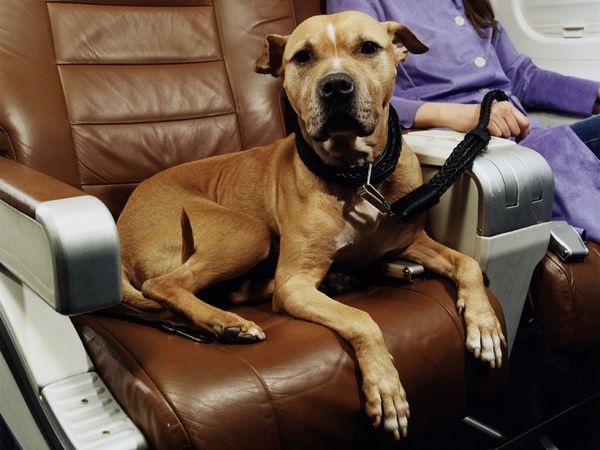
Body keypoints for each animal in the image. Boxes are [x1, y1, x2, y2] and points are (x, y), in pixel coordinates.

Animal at [116, 9, 502, 440]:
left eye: (368, 47)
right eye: (302, 57)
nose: (335, 85)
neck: (357, 175)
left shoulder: (411, 240)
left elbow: (467, 263)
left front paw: (483, 325)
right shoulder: (299, 283)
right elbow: (362, 319)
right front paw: (385, 386)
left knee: (235, 289)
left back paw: (333, 281)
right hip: (248, 233)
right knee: (167, 285)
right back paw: (226, 323)